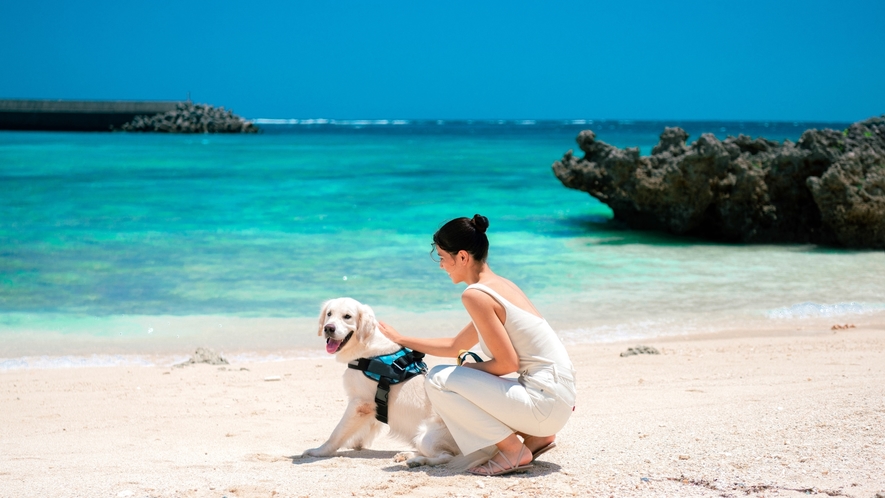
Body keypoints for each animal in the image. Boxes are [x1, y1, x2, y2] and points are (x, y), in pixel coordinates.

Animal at [302, 296, 460, 466]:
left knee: (447, 457)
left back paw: (418, 460)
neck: (365, 346)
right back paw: (407, 455)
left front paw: (319, 451)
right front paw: (357, 443)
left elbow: (336, 433)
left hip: (427, 437)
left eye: (347, 316)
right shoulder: (373, 405)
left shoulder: (360, 403)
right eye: (329, 314)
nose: (328, 328)